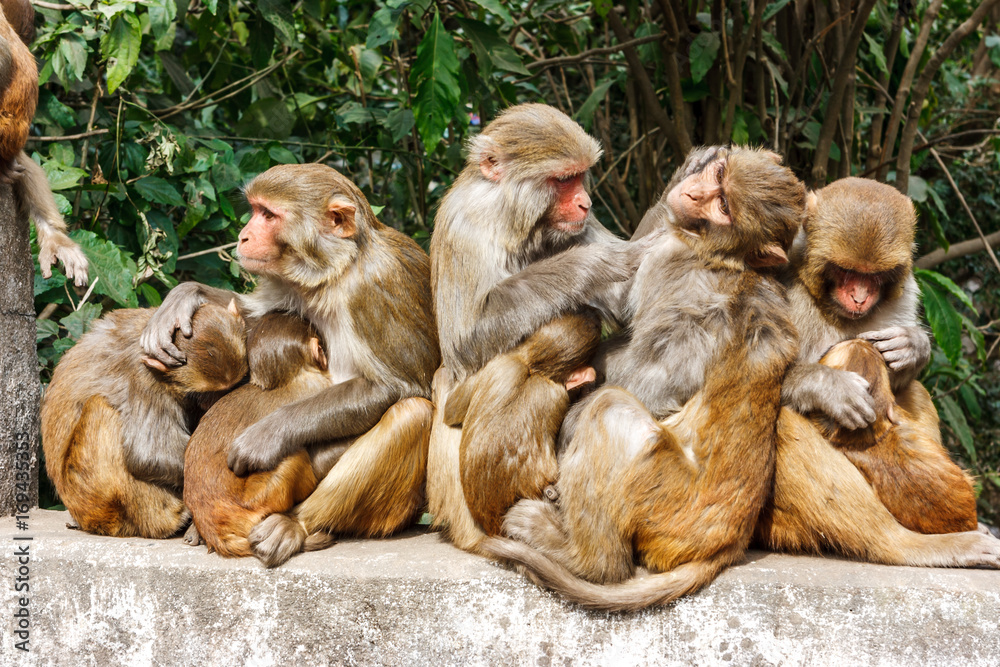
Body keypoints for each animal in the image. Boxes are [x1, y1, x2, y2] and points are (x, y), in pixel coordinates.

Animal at [41, 301, 248, 538]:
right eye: (205, 393)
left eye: (232, 387)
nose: (218, 401)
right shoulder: (144, 375)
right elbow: (148, 453)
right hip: (95, 499)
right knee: (101, 409)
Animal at [481, 146, 803, 611]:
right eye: (720, 177)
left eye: (724, 207)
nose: (695, 192)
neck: (715, 251)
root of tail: (726, 544)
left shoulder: (673, 271)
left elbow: (649, 376)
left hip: (663, 494)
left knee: (610, 408)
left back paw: (582, 557)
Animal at [753, 177, 1000, 566]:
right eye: (846, 271)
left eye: (874, 276)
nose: (859, 297)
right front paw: (829, 388)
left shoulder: (905, 292)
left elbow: (901, 376)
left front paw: (913, 347)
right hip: (782, 527)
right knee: (782, 421)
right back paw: (906, 544)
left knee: (915, 391)